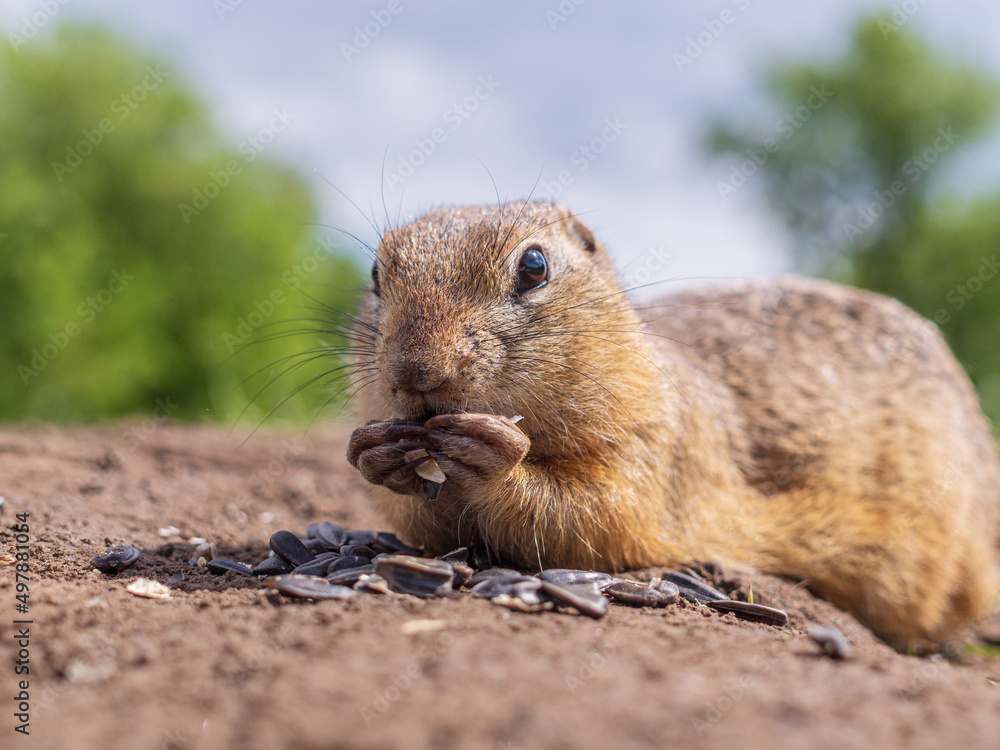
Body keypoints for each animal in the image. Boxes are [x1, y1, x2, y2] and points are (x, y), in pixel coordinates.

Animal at [346, 203, 1000, 648]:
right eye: (376, 274)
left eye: (533, 265)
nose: (416, 373)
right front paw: (375, 454)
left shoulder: (659, 446)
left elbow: (601, 515)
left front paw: (494, 457)